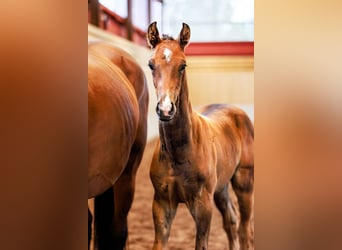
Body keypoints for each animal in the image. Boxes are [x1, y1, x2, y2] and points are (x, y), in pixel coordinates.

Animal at [147, 22, 254, 249]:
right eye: (151, 64)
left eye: (183, 65)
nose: (166, 110)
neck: (179, 153)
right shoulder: (162, 203)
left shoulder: (203, 204)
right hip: (222, 187)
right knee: (231, 221)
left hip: (244, 182)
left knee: (245, 229)